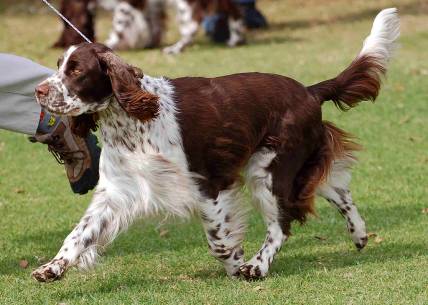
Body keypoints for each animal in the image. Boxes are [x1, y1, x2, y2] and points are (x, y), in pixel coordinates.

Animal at [32, 8, 398, 282]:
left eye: (76, 71)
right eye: (58, 66)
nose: (39, 91)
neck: (133, 121)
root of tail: (309, 91)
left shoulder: (208, 183)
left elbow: (219, 241)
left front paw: (236, 263)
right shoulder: (119, 190)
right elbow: (79, 234)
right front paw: (52, 268)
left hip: (270, 170)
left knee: (281, 225)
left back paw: (257, 266)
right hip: (289, 164)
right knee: (337, 189)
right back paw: (359, 234)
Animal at [104, 0, 244, 52]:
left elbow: (117, 25)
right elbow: (153, 24)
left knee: (191, 26)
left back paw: (174, 49)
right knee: (234, 10)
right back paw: (234, 40)